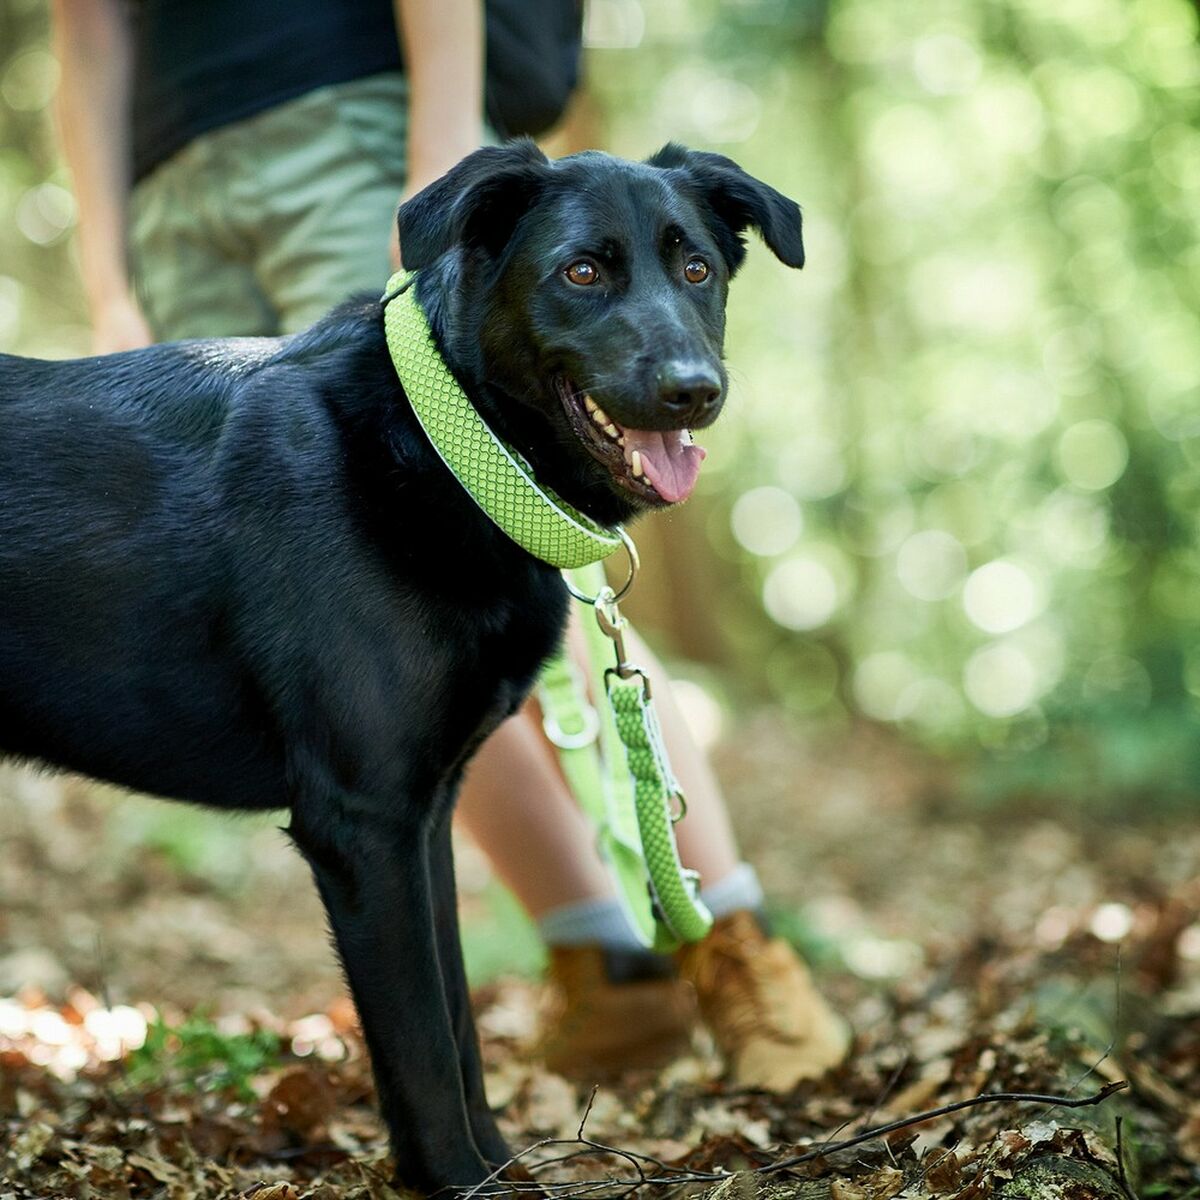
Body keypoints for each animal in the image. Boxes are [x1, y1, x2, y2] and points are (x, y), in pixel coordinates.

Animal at [2, 140, 806, 1190]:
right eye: (582, 272)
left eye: (698, 269)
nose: (694, 390)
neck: (442, 445)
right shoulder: (363, 823)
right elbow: (421, 1041)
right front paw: (458, 1181)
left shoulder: (425, 818)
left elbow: (456, 1023)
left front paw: (497, 1165)